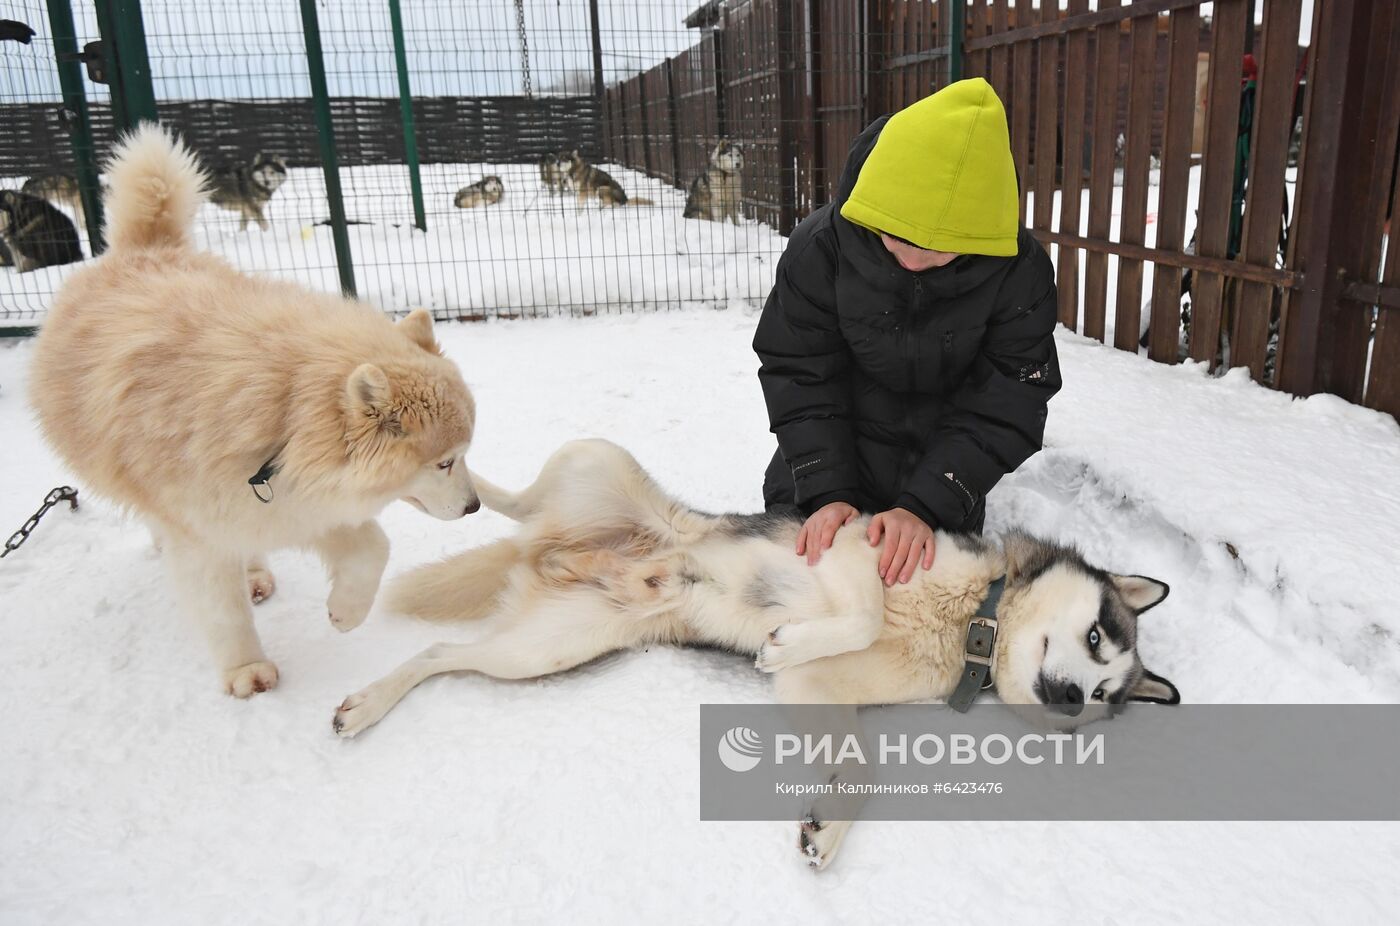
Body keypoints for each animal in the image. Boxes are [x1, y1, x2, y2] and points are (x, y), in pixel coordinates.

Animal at [28, 126, 481, 697]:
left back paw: (255, 575)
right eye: (444, 462)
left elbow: (372, 548)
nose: (475, 508)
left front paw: (345, 613)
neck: (282, 412)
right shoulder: (205, 527)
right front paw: (246, 670)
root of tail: (145, 248)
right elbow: (222, 611)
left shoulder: (296, 498)